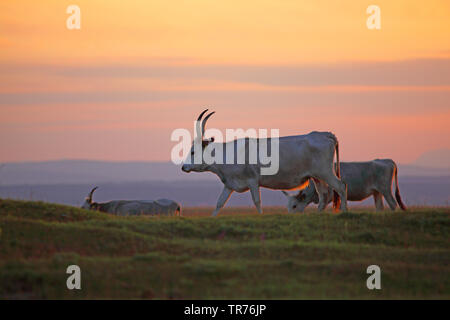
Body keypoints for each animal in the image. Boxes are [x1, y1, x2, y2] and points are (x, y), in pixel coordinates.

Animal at [181, 109, 346, 216]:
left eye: (193, 151)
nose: (184, 167)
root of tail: (327, 135)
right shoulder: (229, 185)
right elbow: (220, 203)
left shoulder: (253, 181)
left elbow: (257, 201)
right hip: (317, 177)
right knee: (323, 195)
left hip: (325, 172)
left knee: (340, 186)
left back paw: (344, 211)